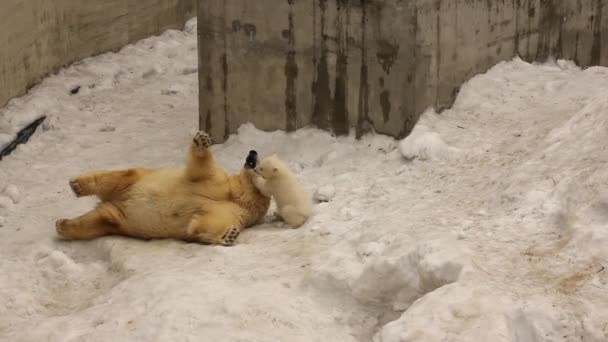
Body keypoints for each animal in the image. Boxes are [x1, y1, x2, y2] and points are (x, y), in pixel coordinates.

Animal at [54, 131, 268, 246]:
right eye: (257, 158)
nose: (253, 151)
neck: (237, 195)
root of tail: (116, 200)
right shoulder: (219, 182)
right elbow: (201, 170)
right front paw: (202, 139)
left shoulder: (234, 212)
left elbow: (205, 223)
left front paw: (228, 234)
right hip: (136, 179)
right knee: (114, 177)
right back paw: (77, 185)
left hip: (119, 218)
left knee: (97, 220)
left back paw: (63, 225)